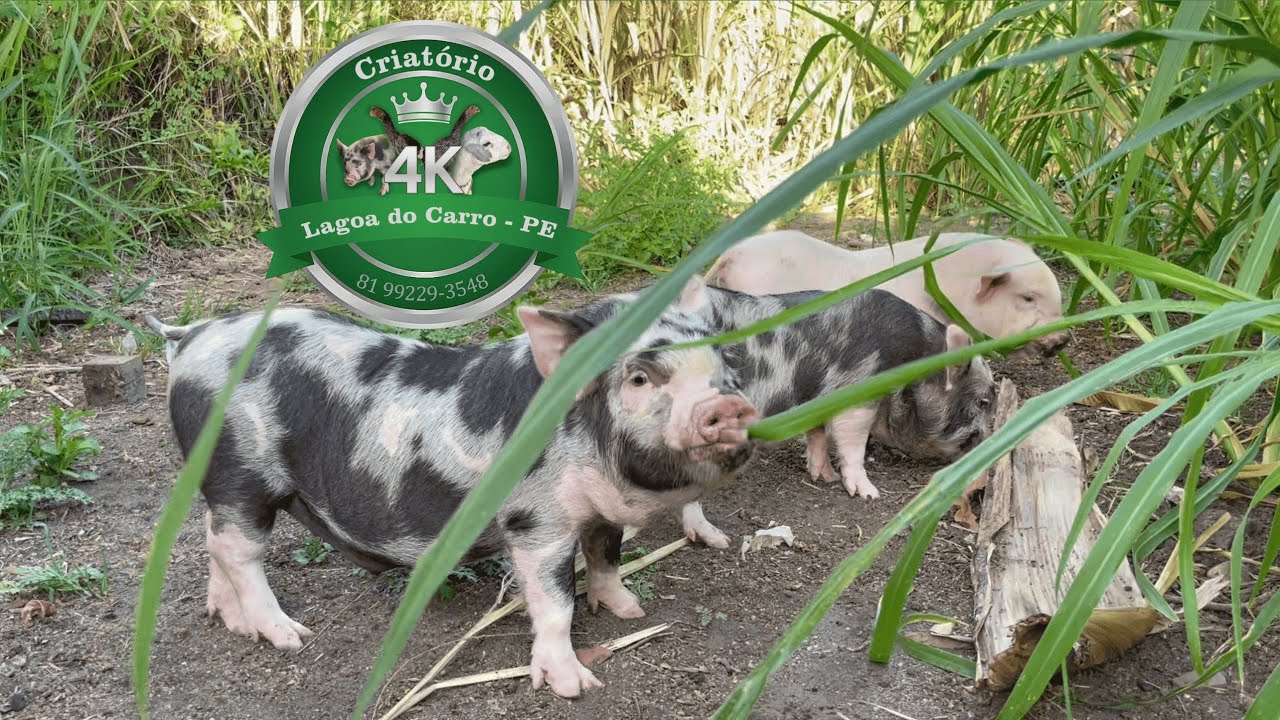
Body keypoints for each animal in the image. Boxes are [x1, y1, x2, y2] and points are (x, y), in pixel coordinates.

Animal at [145, 287, 757, 699]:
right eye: (639, 378)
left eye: (726, 363)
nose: (727, 405)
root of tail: (191, 336)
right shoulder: (536, 522)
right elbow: (555, 603)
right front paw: (576, 686)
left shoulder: (597, 513)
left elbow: (607, 555)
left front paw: (630, 611)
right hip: (240, 470)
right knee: (238, 550)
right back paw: (289, 636)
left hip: (217, 482)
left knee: (213, 539)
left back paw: (228, 619)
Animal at [674, 281, 996, 548]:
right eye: (983, 401)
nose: (991, 447)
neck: (912, 366)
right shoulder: (858, 390)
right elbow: (852, 443)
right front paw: (869, 493)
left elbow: (817, 433)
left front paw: (824, 477)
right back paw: (718, 540)